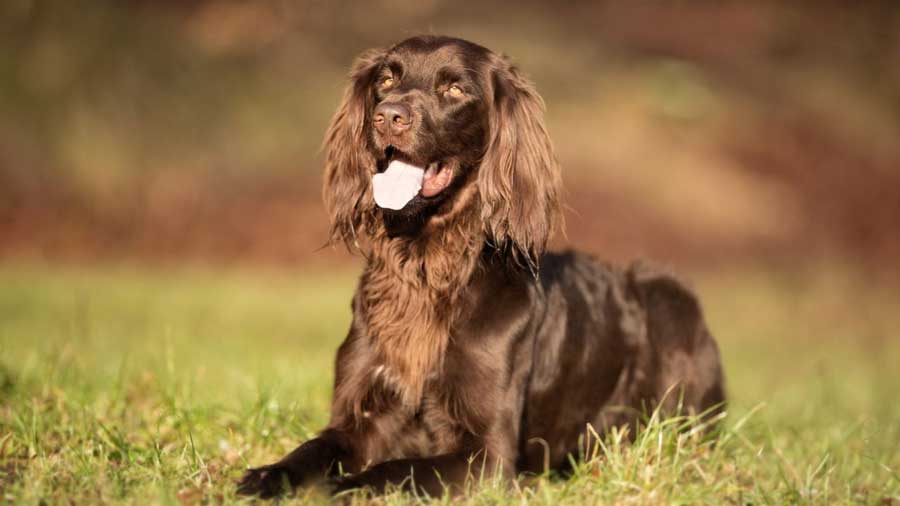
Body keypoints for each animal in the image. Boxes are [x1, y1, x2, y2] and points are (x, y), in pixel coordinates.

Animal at [237, 34, 724, 498]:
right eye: (387, 80)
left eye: (454, 88)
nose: (388, 116)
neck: (427, 269)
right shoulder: (361, 416)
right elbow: (312, 449)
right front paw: (267, 476)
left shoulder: (487, 457)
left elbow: (394, 470)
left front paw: (345, 486)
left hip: (669, 295)